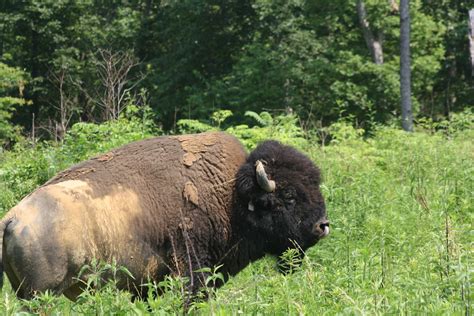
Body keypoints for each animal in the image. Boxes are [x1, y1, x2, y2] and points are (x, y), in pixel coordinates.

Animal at [0, 132, 328, 300]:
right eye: (289, 196)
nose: (322, 226)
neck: (230, 195)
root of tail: (11, 218)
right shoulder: (192, 272)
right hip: (42, 295)